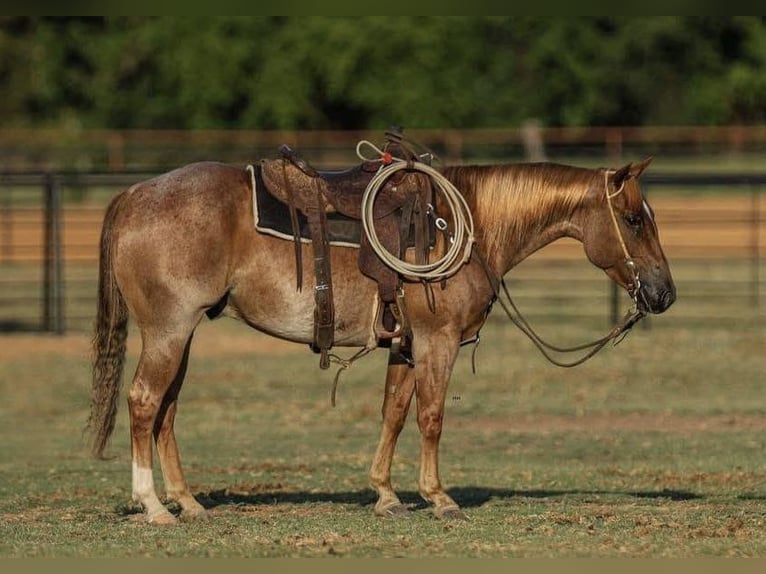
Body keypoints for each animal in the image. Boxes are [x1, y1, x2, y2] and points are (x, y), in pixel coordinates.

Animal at [88, 153, 680, 528]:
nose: (665, 293)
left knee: (166, 411)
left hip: (182, 334)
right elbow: (431, 415)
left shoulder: (405, 343)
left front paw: (387, 494)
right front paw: (438, 497)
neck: (469, 225)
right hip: (169, 331)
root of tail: (135, 194)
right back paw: (153, 506)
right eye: (633, 219)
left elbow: (394, 411)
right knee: (144, 402)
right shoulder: (438, 339)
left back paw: (187, 503)